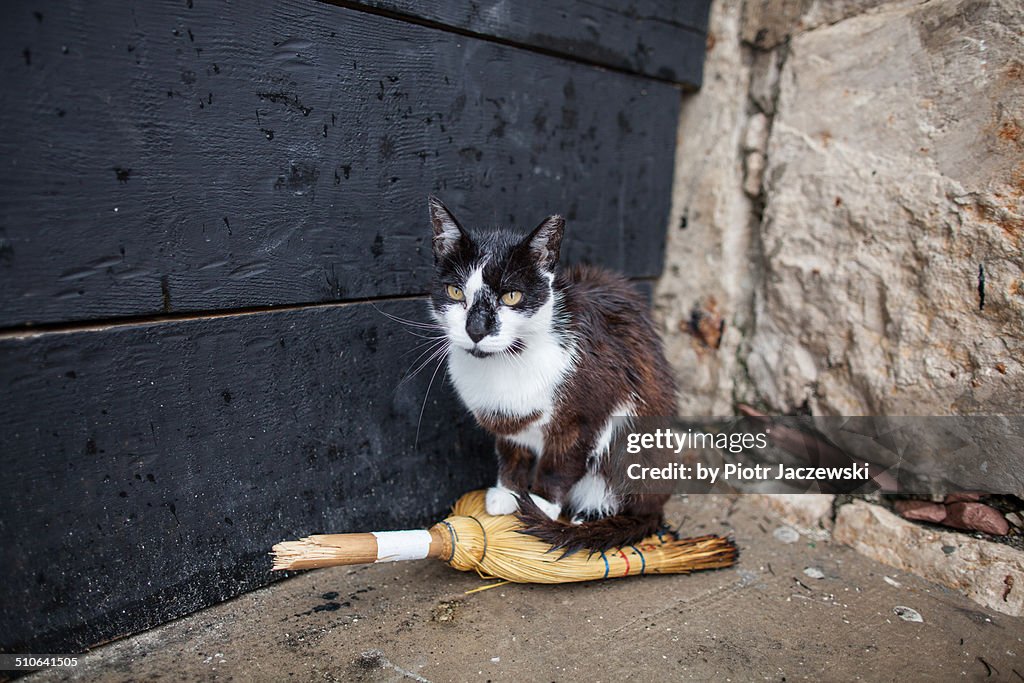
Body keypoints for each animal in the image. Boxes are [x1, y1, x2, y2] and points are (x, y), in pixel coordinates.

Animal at [428, 197, 675, 557]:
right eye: (455, 292)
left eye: (511, 296)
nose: (475, 329)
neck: (506, 362)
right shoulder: (506, 415)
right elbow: (511, 447)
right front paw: (508, 492)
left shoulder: (589, 408)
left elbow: (562, 459)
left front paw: (541, 504)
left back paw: (590, 517)